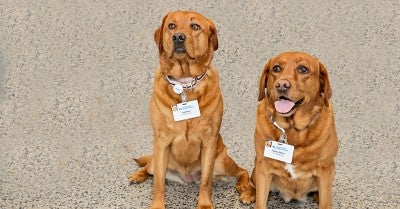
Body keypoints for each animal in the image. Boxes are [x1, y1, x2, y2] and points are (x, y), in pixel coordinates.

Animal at [128, 10, 253, 208]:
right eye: (171, 26)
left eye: (195, 26)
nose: (178, 37)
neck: (185, 84)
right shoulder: (161, 141)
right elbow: (158, 183)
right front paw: (157, 204)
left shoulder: (209, 142)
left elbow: (206, 180)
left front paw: (204, 204)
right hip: (158, 161)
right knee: (149, 167)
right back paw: (138, 175)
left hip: (221, 161)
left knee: (242, 171)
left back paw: (246, 190)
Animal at [250, 51, 338, 209]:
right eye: (276, 68)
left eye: (303, 69)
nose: (282, 85)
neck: (291, 129)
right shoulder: (263, 168)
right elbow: (260, 202)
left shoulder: (325, 170)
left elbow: (326, 201)